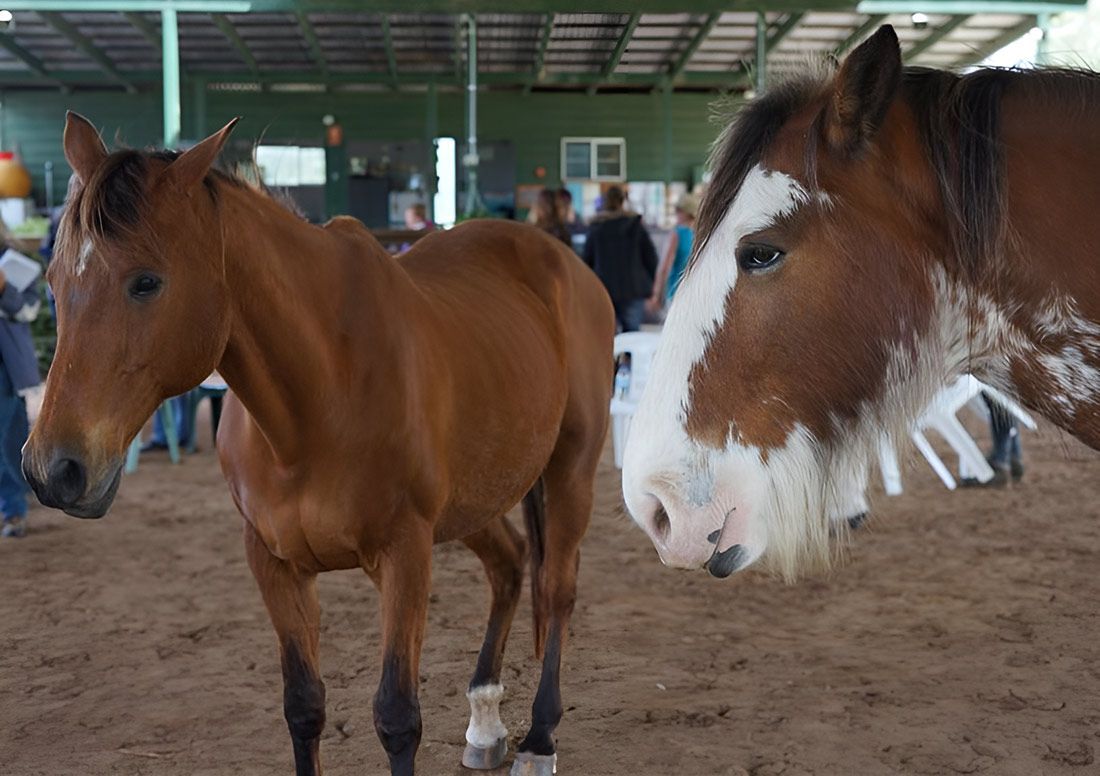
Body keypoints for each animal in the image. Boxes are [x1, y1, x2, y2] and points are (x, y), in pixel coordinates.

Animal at [23, 112, 615, 776]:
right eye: (52, 281)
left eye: (146, 283)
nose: (54, 469)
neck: (316, 400)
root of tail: (560, 259)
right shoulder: (273, 562)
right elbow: (303, 705)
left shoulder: (407, 553)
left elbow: (397, 717)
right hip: (472, 498)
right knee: (511, 564)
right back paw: (484, 722)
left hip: (570, 471)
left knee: (557, 587)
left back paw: (539, 739)